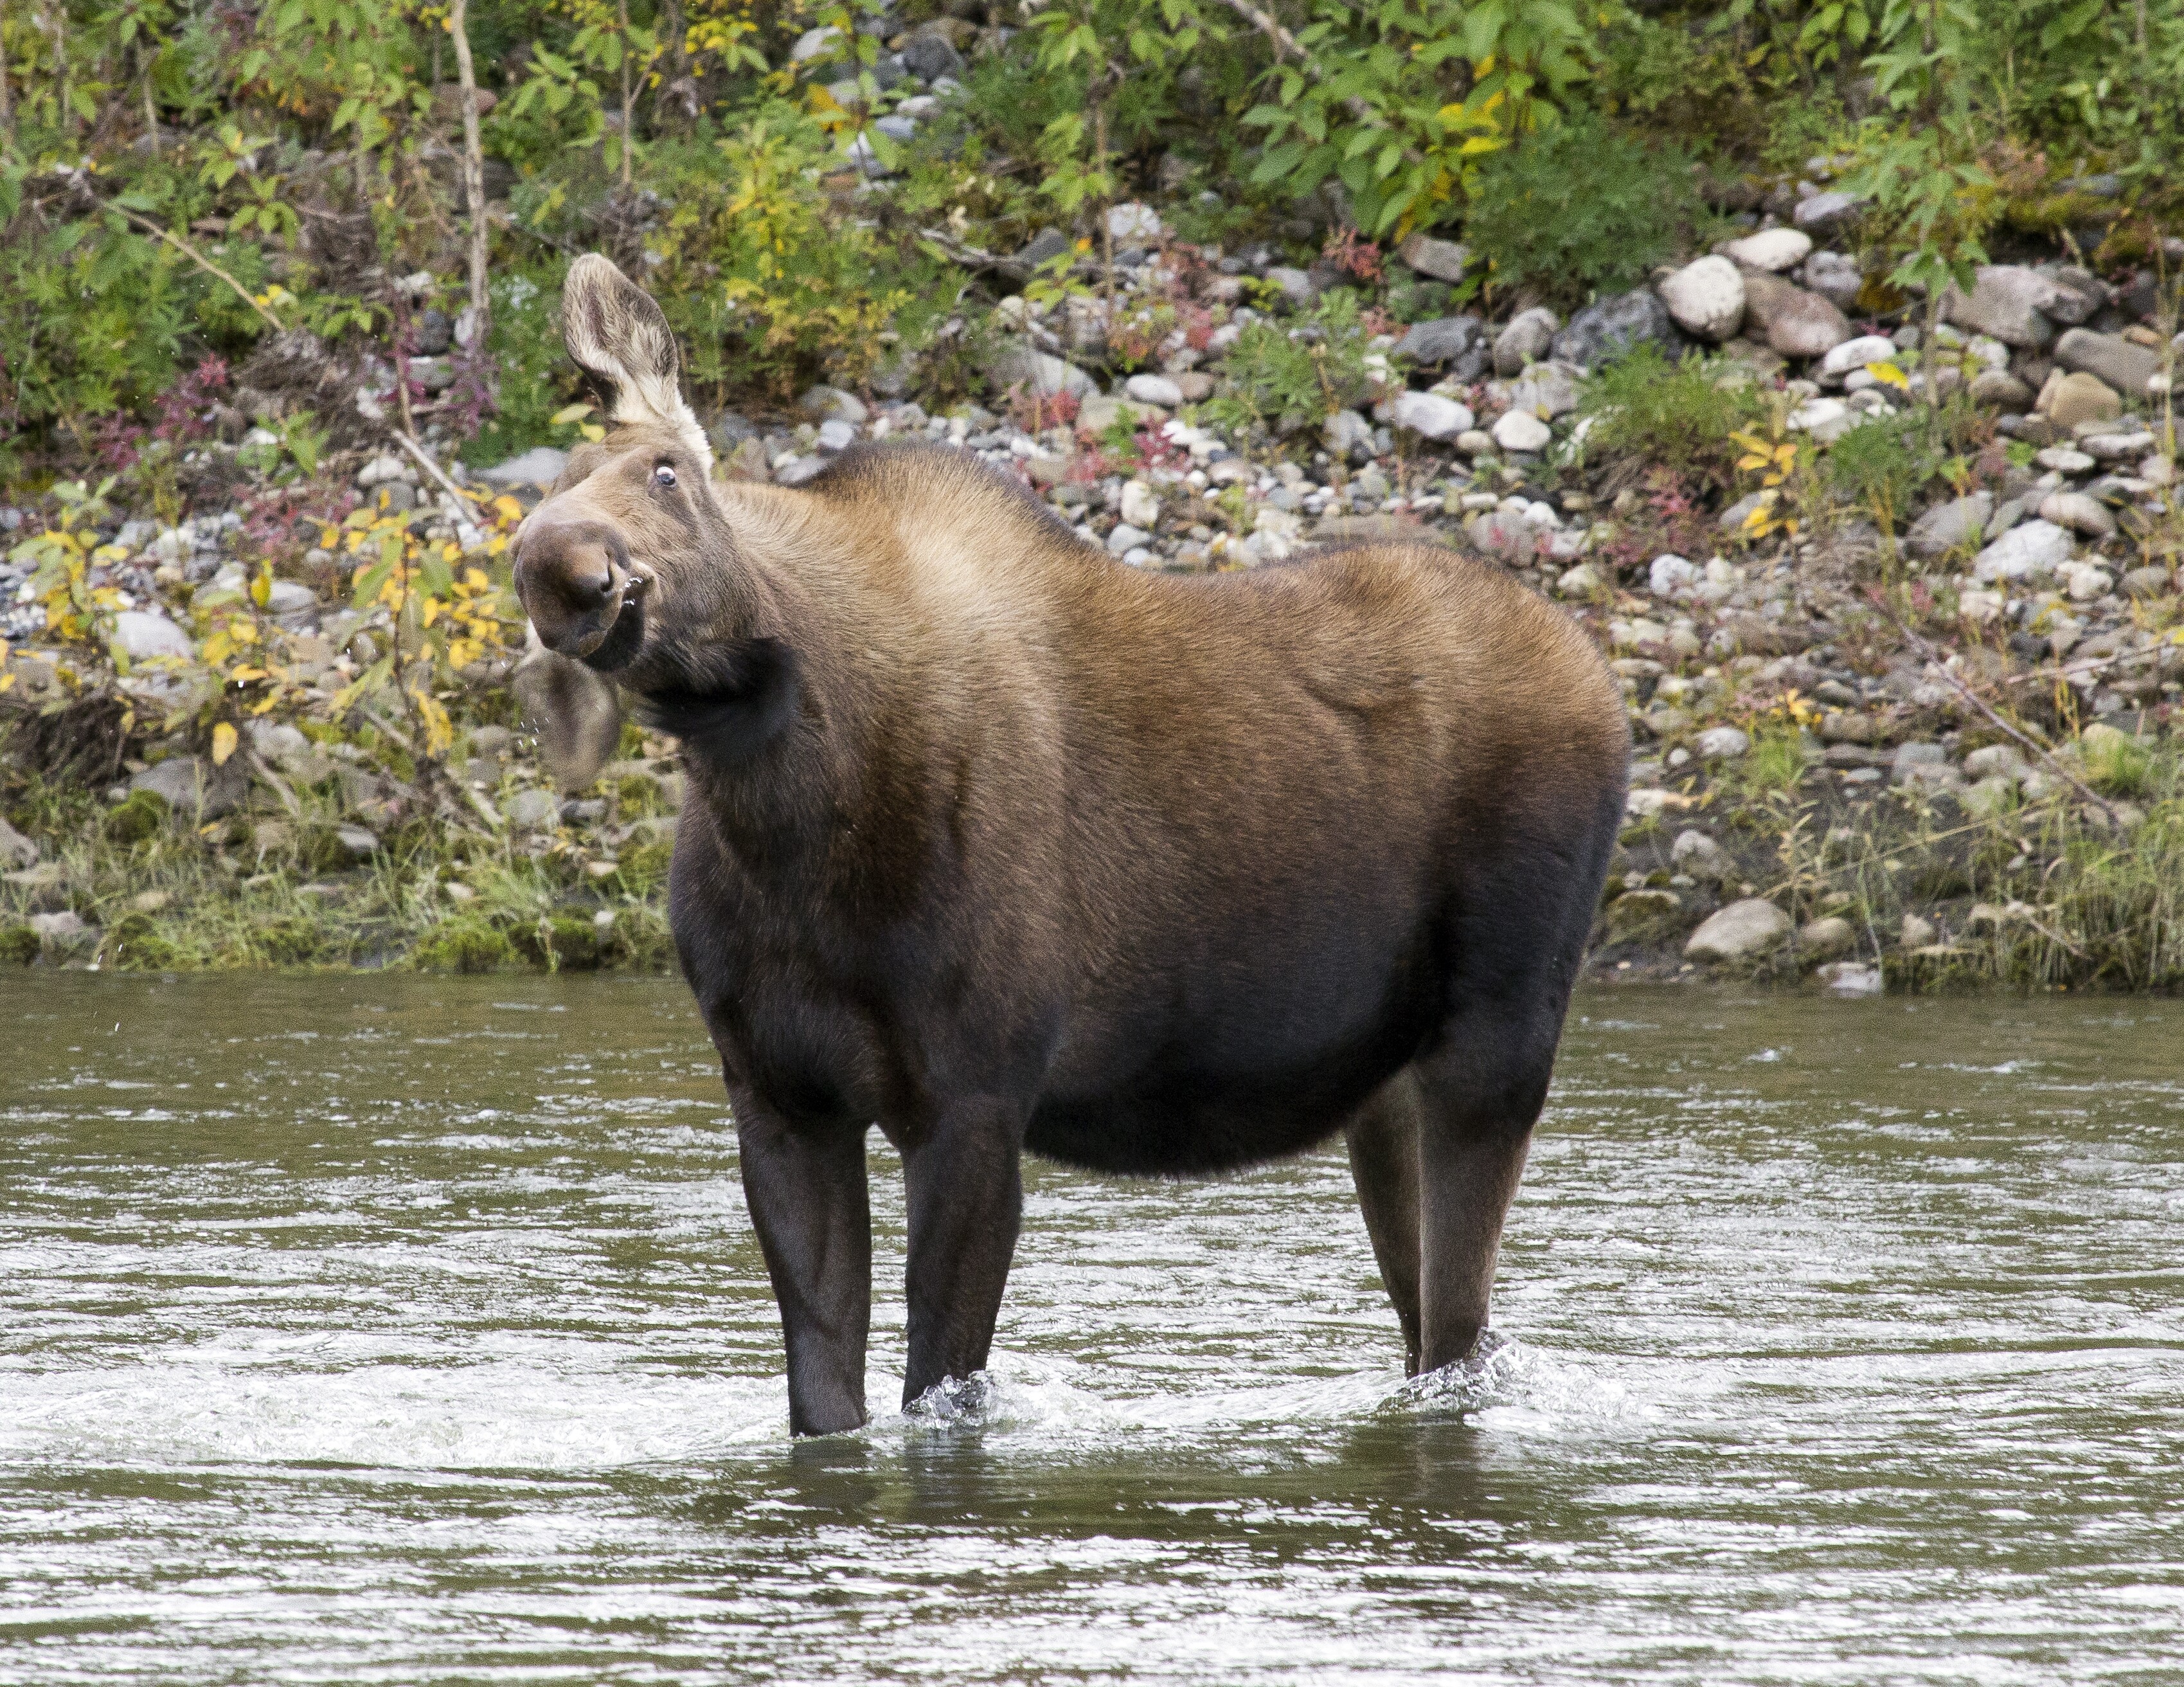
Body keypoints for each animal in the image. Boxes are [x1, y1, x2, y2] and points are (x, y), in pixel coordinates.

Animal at [511, 253, 1633, 1433]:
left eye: (667, 471)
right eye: (550, 487)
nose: (561, 565)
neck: (784, 809)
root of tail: (1599, 680)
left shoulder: (975, 1097)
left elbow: (938, 1386)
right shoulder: (778, 1096)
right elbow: (827, 1396)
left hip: (1497, 1040)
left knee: (1459, 1326)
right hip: (1384, 1088)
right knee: (1435, 1333)